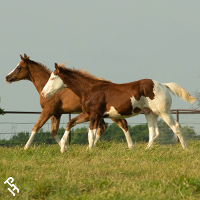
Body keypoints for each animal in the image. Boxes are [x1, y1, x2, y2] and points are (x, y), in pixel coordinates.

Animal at [5, 54, 136, 149]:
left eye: (19, 67)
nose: (7, 77)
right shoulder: (56, 114)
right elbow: (53, 132)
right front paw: (65, 147)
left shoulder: (48, 110)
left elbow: (36, 127)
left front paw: (26, 148)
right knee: (103, 127)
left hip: (110, 112)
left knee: (122, 123)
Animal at [41, 63, 196, 152]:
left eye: (53, 78)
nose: (43, 93)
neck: (90, 90)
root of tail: (164, 85)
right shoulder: (88, 114)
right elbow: (70, 123)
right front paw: (63, 147)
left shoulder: (95, 115)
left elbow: (91, 134)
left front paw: (89, 151)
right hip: (150, 113)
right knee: (154, 133)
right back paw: (145, 150)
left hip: (163, 112)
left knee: (176, 127)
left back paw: (186, 149)